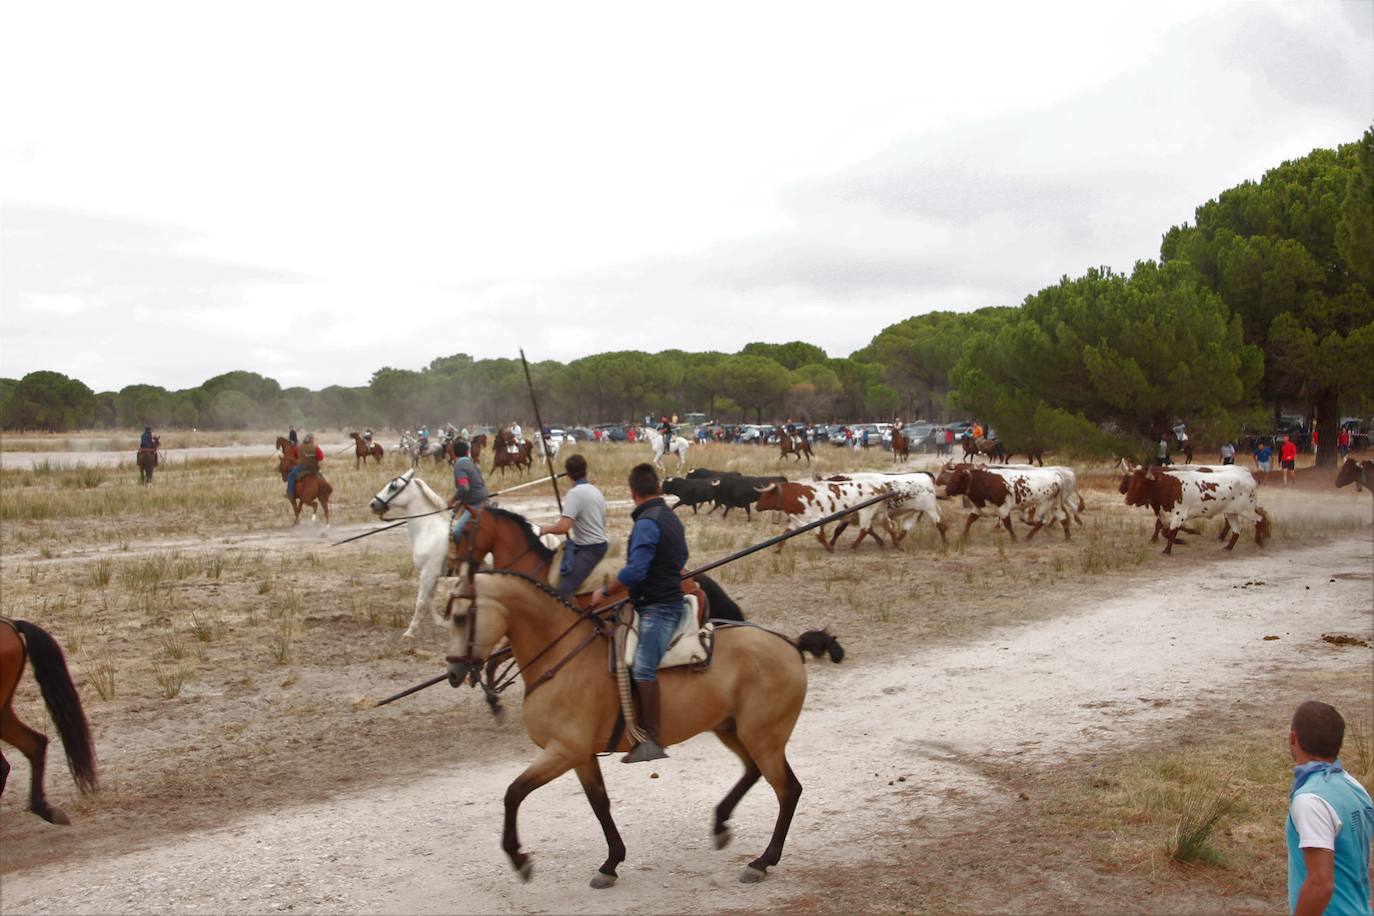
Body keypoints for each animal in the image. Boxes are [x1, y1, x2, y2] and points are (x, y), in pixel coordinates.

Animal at [365, 472, 450, 637]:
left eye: (393, 486)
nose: (373, 504)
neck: (429, 529)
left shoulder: (429, 573)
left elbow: (421, 601)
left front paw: (410, 632)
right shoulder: (432, 574)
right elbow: (429, 598)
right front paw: (441, 622)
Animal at [445, 574, 840, 889]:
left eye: (463, 617)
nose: (453, 672)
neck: (563, 658)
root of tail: (789, 645)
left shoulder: (563, 751)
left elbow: (514, 793)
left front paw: (518, 858)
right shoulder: (580, 755)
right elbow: (599, 803)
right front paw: (610, 864)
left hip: (764, 737)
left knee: (787, 790)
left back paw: (762, 861)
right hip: (733, 730)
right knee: (753, 772)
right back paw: (721, 824)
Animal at [1126, 466, 1264, 552]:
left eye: (1139, 484)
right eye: (1130, 482)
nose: (1127, 500)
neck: (1168, 487)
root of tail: (1248, 475)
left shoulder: (1178, 515)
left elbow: (1170, 532)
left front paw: (1168, 549)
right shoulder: (1165, 516)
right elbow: (1164, 531)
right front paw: (1182, 539)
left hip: (1247, 510)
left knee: (1259, 519)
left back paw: (1260, 541)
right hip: (1231, 513)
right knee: (1236, 530)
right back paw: (1228, 547)